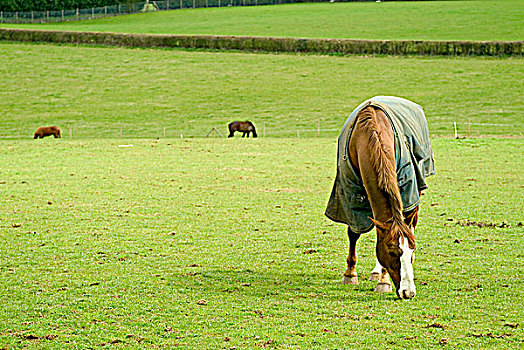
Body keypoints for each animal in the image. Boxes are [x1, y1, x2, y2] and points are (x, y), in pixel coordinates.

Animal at [326, 95, 436, 298]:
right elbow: (354, 232)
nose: (408, 292)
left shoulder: (406, 190)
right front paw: (350, 274)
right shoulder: (350, 193)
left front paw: (384, 281)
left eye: (411, 252)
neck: (369, 134)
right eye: (392, 252)